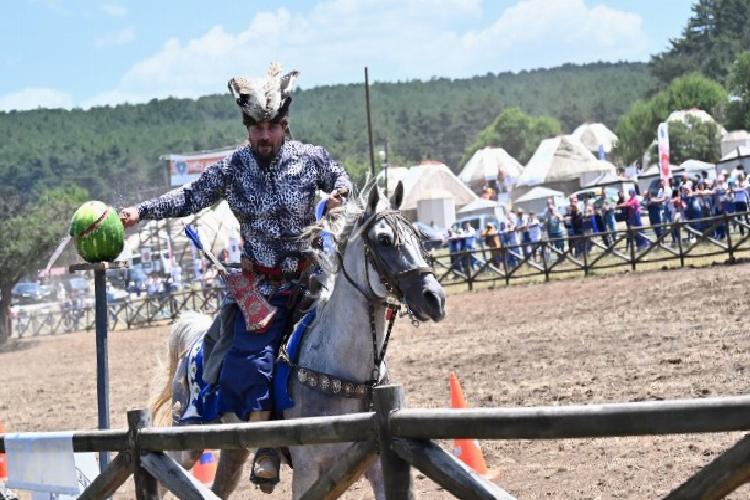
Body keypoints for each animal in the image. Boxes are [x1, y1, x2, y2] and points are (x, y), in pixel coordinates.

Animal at [151, 183, 446, 496]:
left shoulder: (378, 464)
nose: (434, 298)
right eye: (384, 239)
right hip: (186, 440)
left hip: (232, 447)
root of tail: (194, 345)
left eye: (418, 236)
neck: (341, 370)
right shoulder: (306, 470)